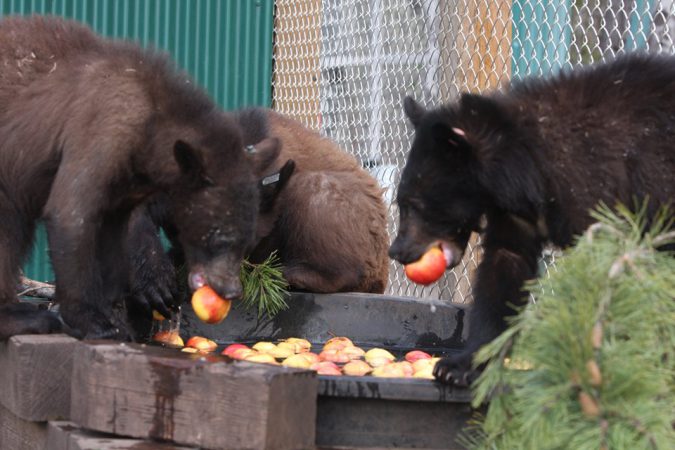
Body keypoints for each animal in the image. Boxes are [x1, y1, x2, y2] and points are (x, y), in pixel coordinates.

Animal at [0, 16, 279, 340]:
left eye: (248, 242)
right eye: (220, 238)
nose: (232, 290)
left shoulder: (125, 184)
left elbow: (113, 236)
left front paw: (116, 316)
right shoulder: (100, 130)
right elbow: (71, 213)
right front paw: (95, 321)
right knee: (9, 228)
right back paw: (25, 317)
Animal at [389, 52, 674, 385]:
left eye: (414, 204)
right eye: (401, 201)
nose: (396, 251)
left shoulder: (612, 189)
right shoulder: (514, 214)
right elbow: (504, 266)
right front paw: (462, 365)